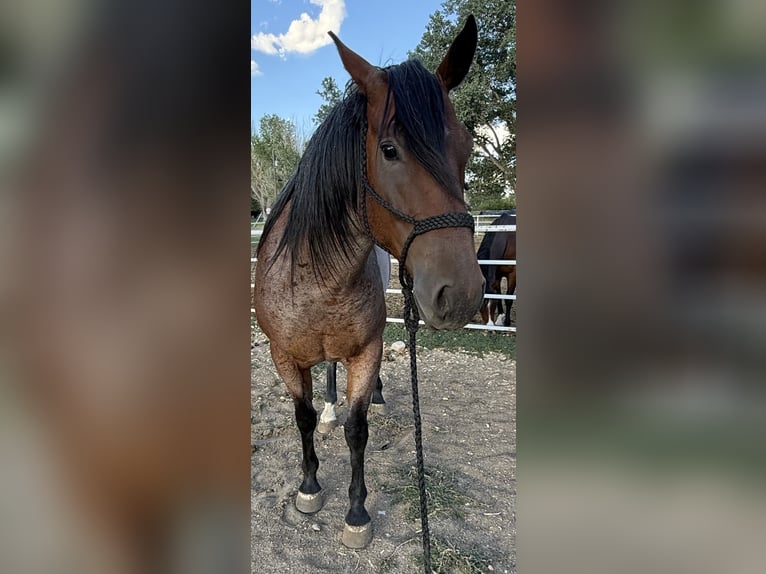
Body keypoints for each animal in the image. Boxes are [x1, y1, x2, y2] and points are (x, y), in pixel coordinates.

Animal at [254, 16, 484, 549]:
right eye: (389, 150)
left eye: (465, 146)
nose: (461, 296)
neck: (315, 277)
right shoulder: (283, 356)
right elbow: (303, 417)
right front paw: (310, 486)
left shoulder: (367, 349)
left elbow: (357, 431)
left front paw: (356, 513)